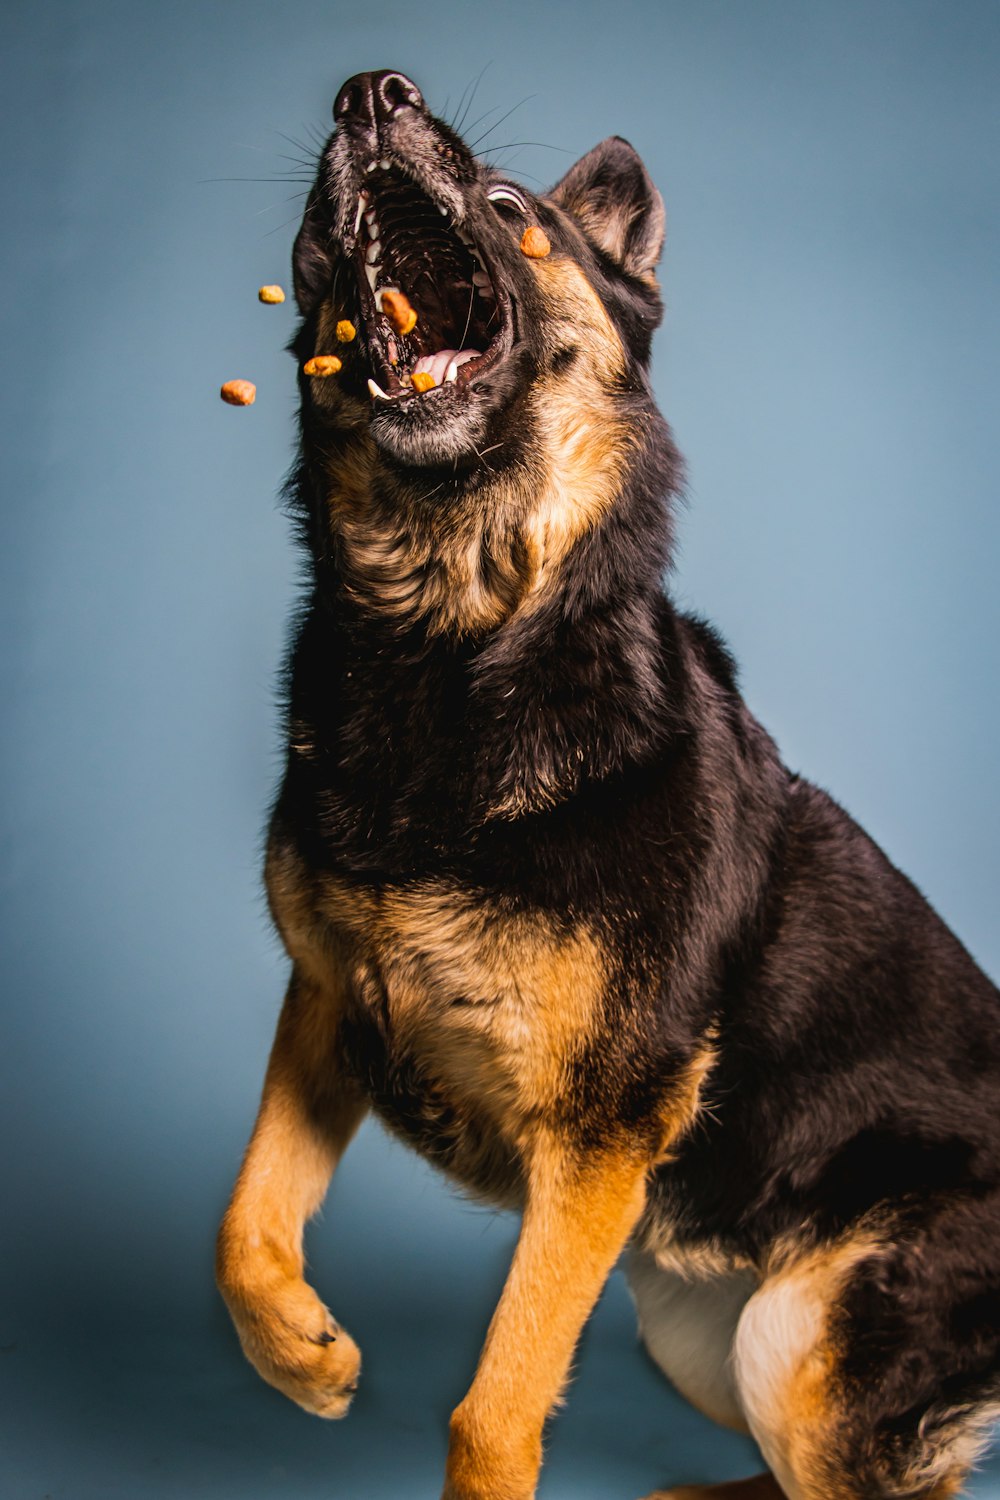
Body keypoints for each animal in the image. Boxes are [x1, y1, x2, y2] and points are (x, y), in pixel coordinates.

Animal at [218, 70, 1000, 1500]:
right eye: (308, 246)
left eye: (510, 206)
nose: (371, 92)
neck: (451, 647)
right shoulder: (327, 1004)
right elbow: (244, 1223)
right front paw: (298, 1353)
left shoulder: (596, 1139)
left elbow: (492, 1413)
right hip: (700, 1334)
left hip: (795, 1338)